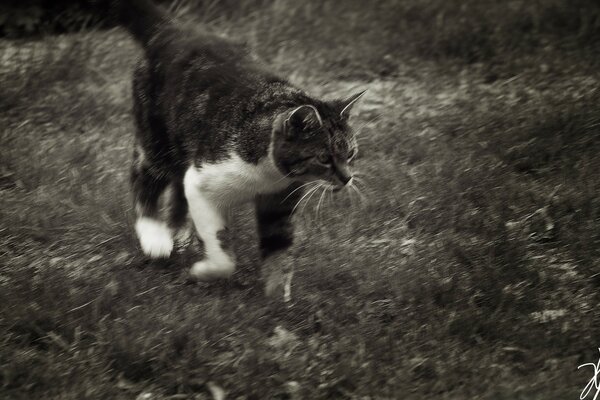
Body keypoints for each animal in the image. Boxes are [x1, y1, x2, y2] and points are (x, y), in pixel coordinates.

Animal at [111, 0, 366, 290]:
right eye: (324, 158)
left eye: (350, 153)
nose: (347, 178)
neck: (269, 174)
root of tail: (171, 30)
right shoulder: (202, 181)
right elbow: (220, 247)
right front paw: (204, 271)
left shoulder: (279, 203)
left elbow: (279, 253)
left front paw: (278, 297)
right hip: (158, 139)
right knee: (144, 178)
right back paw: (155, 237)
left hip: (182, 146)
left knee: (176, 185)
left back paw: (179, 234)